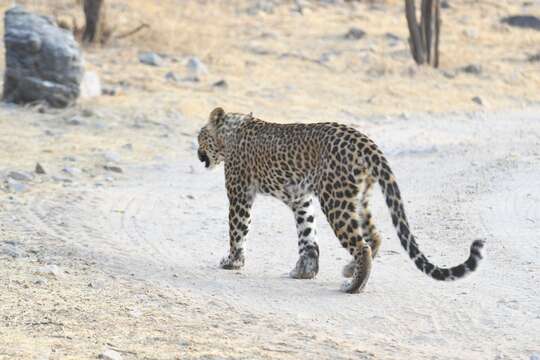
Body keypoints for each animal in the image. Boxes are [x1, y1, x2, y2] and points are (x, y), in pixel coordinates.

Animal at [196, 107, 484, 292]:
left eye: (200, 136)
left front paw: (232, 262)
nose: (197, 152)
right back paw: (349, 269)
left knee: (362, 245)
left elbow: (237, 229)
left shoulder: (240, 193)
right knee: (375, 236)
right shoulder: (301, 200)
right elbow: (307, 237)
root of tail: (364, 141)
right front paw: (305, 271)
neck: (232, 131)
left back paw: (353, 285)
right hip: (357, 198)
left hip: (335, 201)